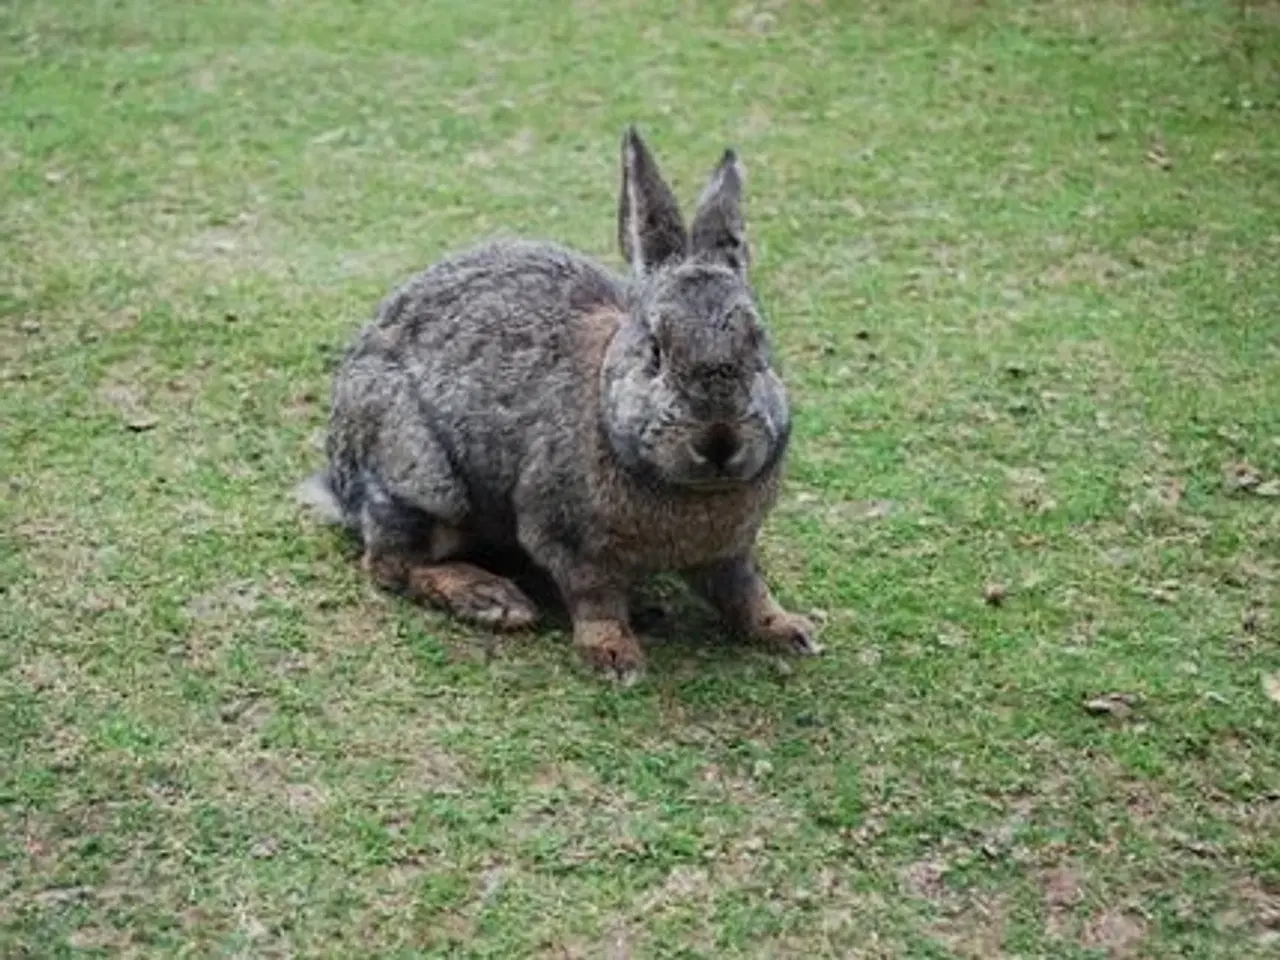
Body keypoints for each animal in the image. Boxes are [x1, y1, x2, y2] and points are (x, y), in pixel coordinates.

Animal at [298, 128, 819, 686]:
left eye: (760, 348)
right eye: (655, 351)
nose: (719, 441)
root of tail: (342, 482)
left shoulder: (730, 551)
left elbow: (745, 590)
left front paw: (788, 629)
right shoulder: (567, 538)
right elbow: (595, 598)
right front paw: (614, 657)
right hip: (423, 478)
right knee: (391, 564)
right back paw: (494, 600)